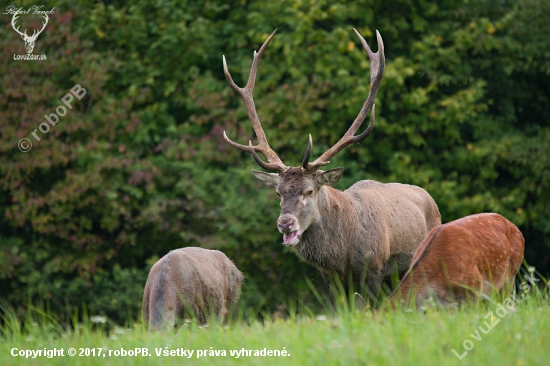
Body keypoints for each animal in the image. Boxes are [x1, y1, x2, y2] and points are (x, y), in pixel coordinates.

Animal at [222, 30, 442, 296]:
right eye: (278, 192)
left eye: (309, 191)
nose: (285, 223)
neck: (342, 257)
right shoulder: (331, 279)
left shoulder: (374, 270)